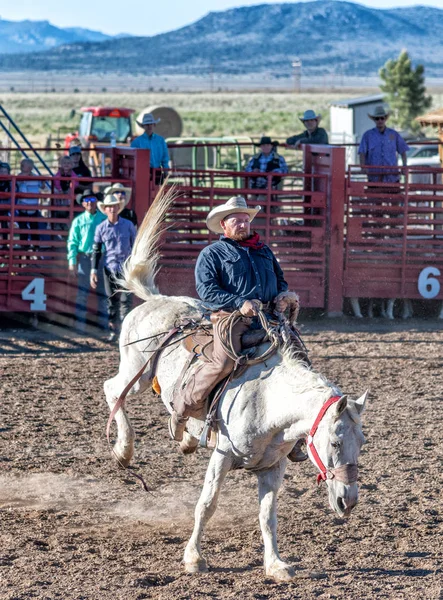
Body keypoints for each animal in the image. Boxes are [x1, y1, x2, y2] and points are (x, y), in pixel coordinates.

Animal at [104, 188, 368, 580]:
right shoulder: (223, 455)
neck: (270, 402)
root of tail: (157, 299)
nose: (347, 501)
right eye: (334, 442)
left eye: (361, 443)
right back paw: (123, 449)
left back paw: (185, 436)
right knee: (113, 390)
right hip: (136, 370)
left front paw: (275, 564)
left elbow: (267, 516)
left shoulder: (274, 467)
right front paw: (193, 558)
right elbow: (207, 504)